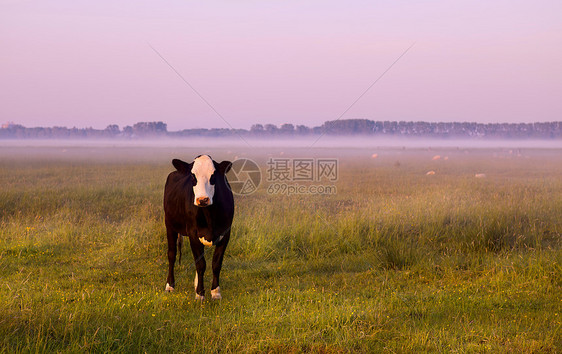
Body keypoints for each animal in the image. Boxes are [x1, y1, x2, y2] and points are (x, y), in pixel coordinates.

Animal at [163, 153, 233, 300]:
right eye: (192, 176)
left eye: (213, 175)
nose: (202, 199)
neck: (209, 215)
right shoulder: (193, 233)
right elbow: (201, 264)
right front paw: (200, 294)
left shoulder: (226, 233)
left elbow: (216, 263)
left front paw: (215, 292)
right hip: (169, 225)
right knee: (172, 254)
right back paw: (170, 286)